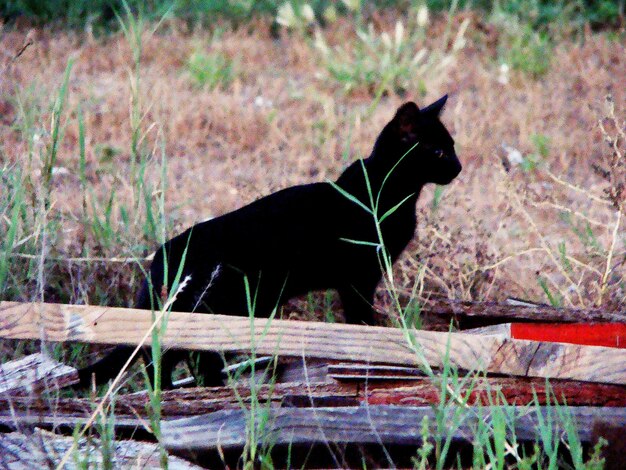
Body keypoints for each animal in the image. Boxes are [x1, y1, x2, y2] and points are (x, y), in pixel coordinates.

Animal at [78, 94, 458, 390]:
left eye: (452, 147)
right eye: (438, 151)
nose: (459, 167)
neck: (390, 192)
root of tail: (161, 256)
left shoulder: (355, 280)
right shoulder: (359, 278)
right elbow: (361, 319)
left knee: (180, 357)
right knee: (168, 356)